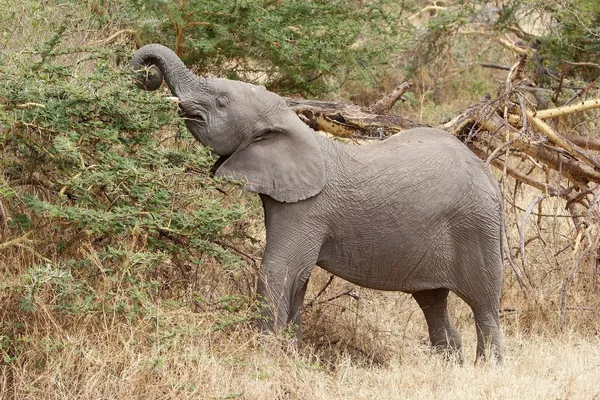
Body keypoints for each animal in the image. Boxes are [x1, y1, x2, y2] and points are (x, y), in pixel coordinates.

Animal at [132, 43, 506, 362]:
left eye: (221, 101)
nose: (149, 75)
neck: (292, 124)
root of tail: (489, 175)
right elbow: (297, 278)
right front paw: (289, 354)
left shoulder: (308, 210)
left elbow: (278, 270)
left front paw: (265, 356)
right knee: (432, 301)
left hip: (477, 226)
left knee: (484, 305)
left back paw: (489, 368)